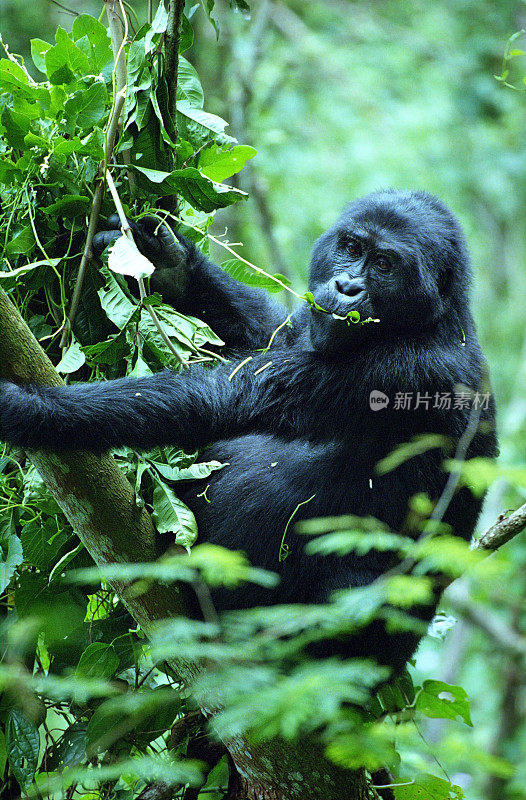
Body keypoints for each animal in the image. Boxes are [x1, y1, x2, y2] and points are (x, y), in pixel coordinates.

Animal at [0, 191, 498, 672]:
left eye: (384, 265)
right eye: (352, 248)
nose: (347, 286)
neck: (437, 317)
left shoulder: (406, 372)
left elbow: (222, 394)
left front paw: (27, 408)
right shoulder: (308, 327)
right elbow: (264, 336)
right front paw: (169, 262)